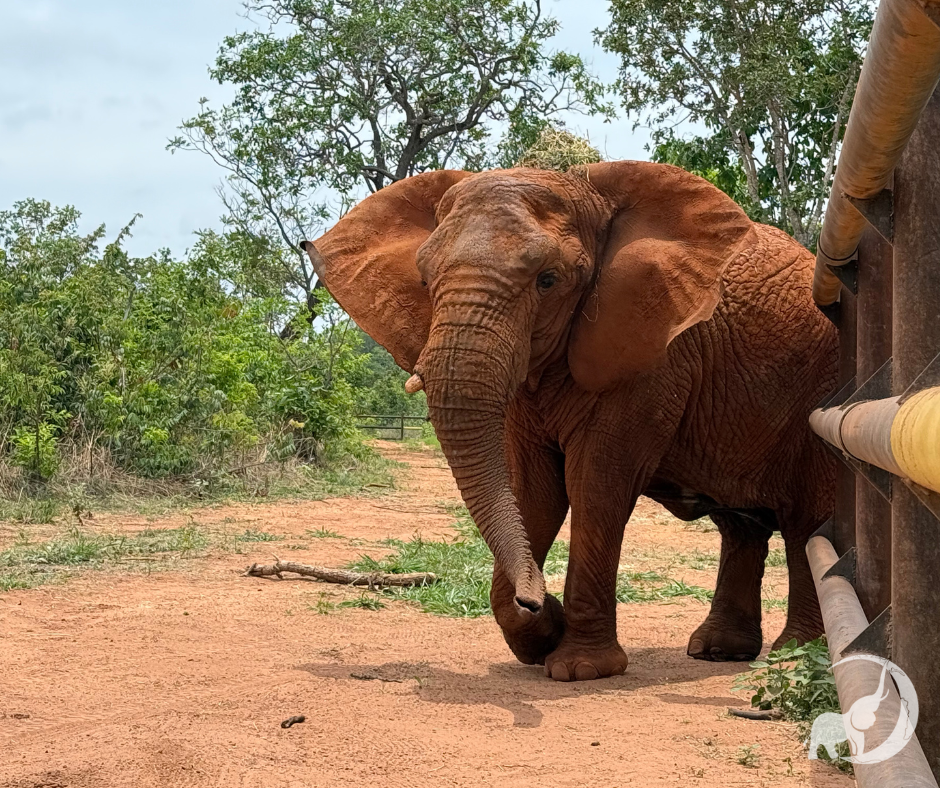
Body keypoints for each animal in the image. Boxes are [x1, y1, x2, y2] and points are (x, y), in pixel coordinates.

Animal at [301, 161, 837, 682]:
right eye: (425, 281)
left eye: (548, 280)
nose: (536, 598)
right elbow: (532, 491)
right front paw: (540, 633)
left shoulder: (654, 357)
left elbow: (595, 485)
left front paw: (580, 668)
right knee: (740, 526)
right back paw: (717, 652)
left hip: (823, 391)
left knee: (806, 521)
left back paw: (792, 656)